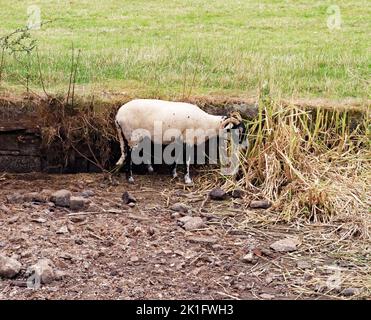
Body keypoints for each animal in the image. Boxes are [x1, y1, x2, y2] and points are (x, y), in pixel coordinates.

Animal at [114, 99, 247, 185]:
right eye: (238, 131)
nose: (245, 147)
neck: (207, 123)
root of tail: (117, 116)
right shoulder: (189, 139)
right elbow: (187, 160)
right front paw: (187, 179)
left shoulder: (180, 140)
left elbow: (177, 157)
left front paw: (174, 174)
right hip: (132, 135)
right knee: (129, 155)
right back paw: (130, 178)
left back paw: (149, 169)